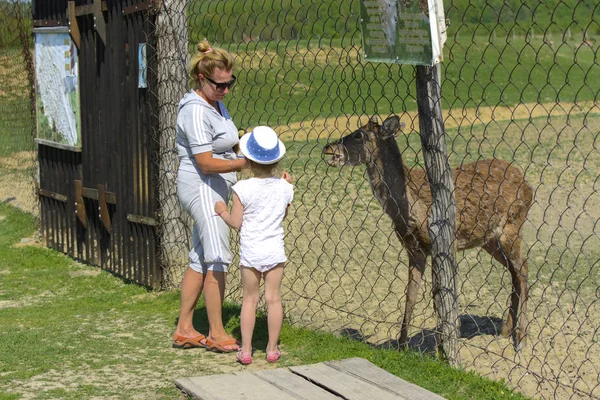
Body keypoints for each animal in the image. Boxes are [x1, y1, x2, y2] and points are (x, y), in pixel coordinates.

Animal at [326, 113, 532, 350]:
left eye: (359, 134)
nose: (328, 148)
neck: (408, 209)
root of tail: (528, 184)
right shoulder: (414, 249)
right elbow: (410, 295)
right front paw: (402, 345)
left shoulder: (443, 242)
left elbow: (438, 295)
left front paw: (444, 344)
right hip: (489, 240)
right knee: (514, 272)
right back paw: (506, 331)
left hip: (513, 224)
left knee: (523, 269)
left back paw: (521, 339)